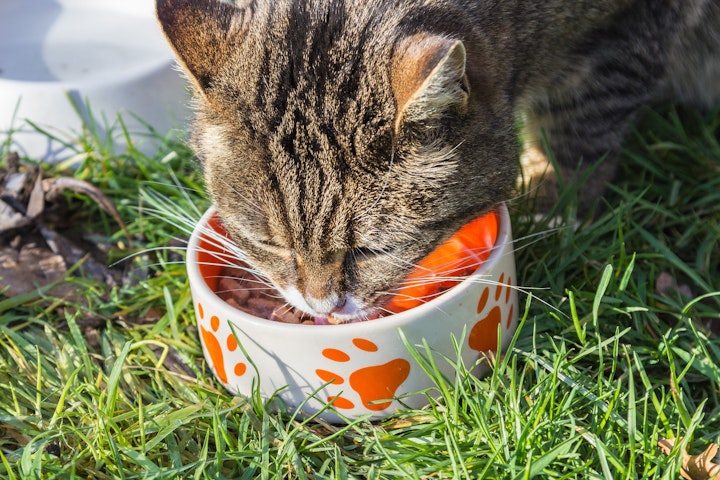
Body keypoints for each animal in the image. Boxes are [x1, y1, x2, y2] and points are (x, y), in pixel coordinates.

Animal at [158, 0, 720, 322]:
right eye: (270, 244)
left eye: (372, 250)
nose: (322, 307)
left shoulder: (626, 33)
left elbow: (580, 128)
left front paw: (555, 206)